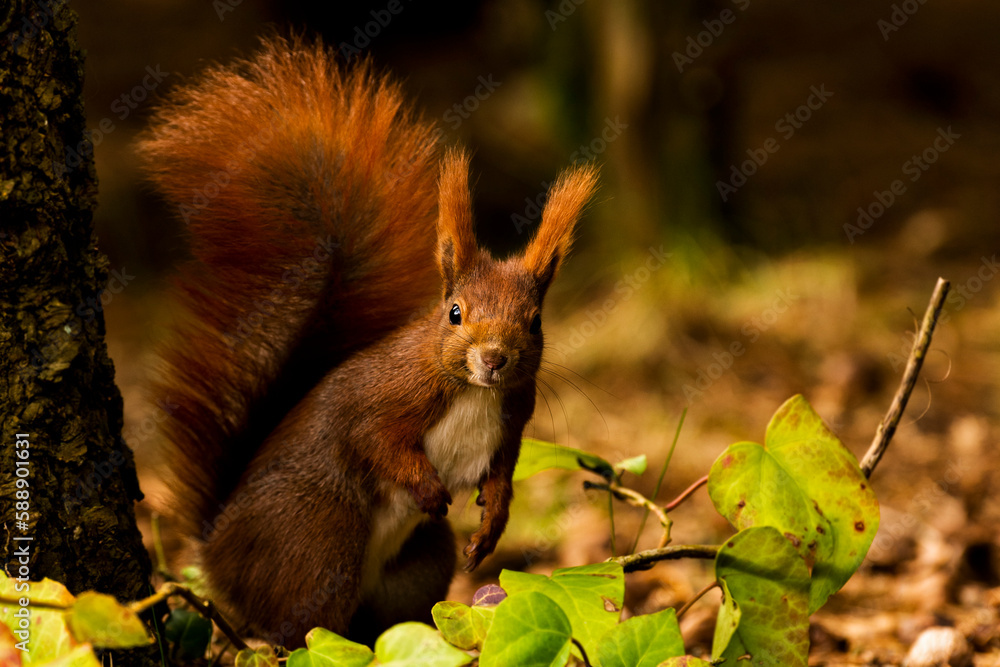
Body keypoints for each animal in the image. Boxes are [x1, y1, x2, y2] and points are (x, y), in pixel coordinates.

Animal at [139, 37, 597, 647]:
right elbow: (374, 439)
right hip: (320, 539)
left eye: (534, 322)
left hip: (420, 560)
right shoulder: (380, 399)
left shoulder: (511, 422)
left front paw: (492, 524)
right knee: (302, 627)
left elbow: (501, 474)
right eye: (454, 313)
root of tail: (216, 551)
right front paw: (426, 489)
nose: (495, 359)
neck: (472, 391)